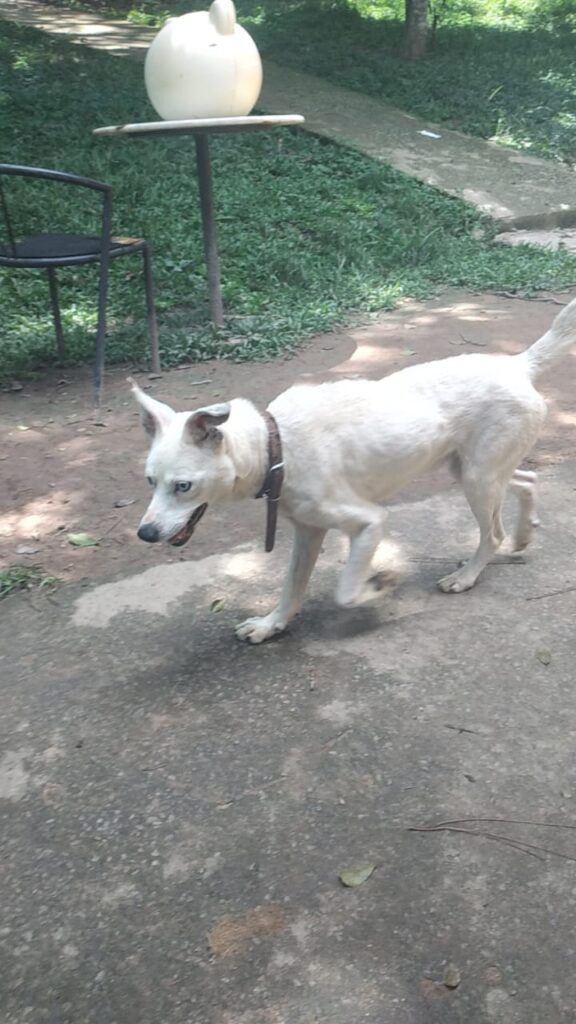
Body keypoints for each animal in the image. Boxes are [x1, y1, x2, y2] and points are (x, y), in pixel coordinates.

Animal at [130, 299, 573, 643]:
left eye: (183, 486)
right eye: (150, 481)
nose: (145, 534)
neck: (276, 447)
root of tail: (518, 365)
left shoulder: (370, 521)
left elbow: (345, 592)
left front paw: (377, 585)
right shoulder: (308, 532)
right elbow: (291, 588)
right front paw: (271, 625)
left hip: (477, 479)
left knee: (492, 532)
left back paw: (466, 576)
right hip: (471, 470)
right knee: (527, 480)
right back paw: (523, 534)